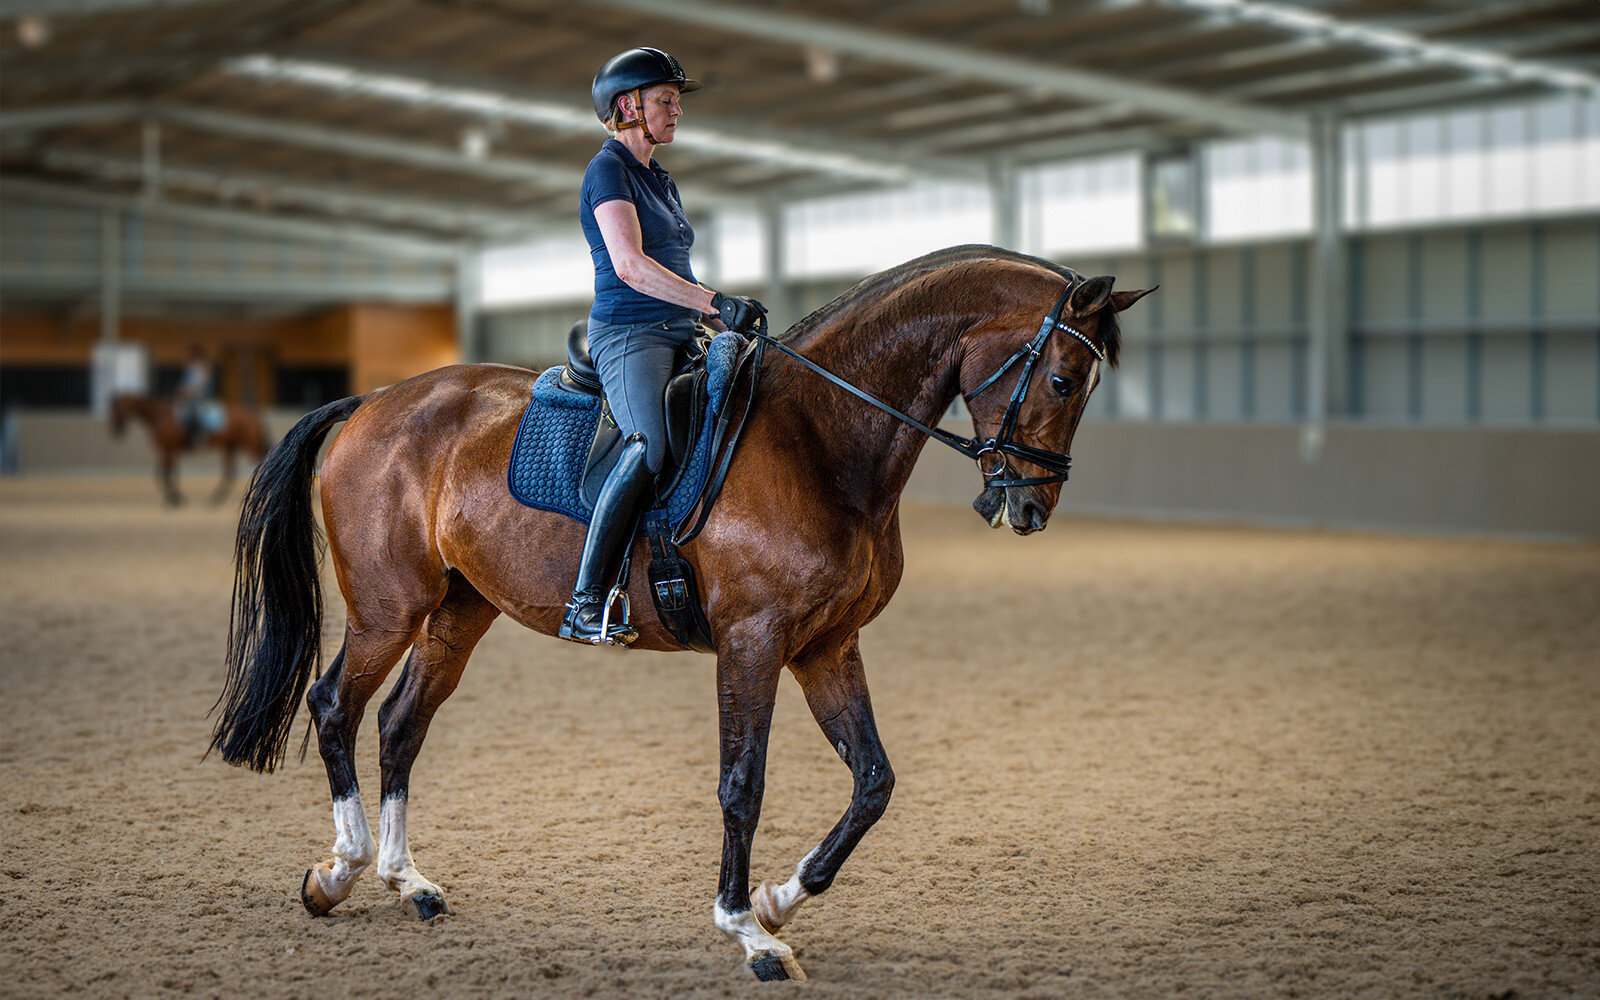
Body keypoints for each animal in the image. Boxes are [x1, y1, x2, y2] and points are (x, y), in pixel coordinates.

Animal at [111, 393, 270, 505]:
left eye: (118, 409)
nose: (115, 430)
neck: (159, 415)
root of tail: (250, 414)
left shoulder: (168, 449)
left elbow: (165, 474)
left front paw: (174, 499)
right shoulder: (168, 450)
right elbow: (165, 474)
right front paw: (176, 498)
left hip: (249, 446)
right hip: (229, 447)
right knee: (229, 474)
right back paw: (215, 500)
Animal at [206, 243, 1152, 985]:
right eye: (1062, 377)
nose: (1027, 510)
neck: (822, 439)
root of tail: (371, 402)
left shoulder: (826, 646)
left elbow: (874, 782)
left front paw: (777, 899)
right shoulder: (753, 643)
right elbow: (743, 784)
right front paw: (748, 933)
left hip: (460, 611)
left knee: (401, 724)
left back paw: (411, 884)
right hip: (387, 609)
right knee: (337, 706)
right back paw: (338, 873)